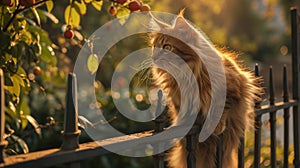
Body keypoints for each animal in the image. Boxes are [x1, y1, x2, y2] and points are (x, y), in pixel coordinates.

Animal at [149, 11, 260, 167]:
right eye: (155, 47)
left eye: (167, 47)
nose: (154, 58)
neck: (185, 73)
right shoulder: (177, 98)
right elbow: (184, 113)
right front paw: (185, 123)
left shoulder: (231, 88)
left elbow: (220, 108)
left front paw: (215, 126)